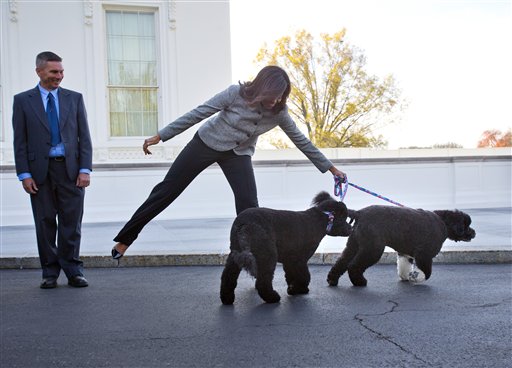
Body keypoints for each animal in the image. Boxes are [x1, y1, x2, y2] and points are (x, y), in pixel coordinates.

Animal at [220, 191, 352, 304]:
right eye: (344, 217)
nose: (350, 228)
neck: (320, 220)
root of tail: (244, 224)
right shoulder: (300, 259)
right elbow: (304, 275)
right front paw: (300, 289)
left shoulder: (290, 259)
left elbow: (290, 275)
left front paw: (293, 289)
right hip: (267, 255)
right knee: (263, 281)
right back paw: (272, 297)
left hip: (235, 254)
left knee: (228, 277)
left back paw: (227, 299)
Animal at [328, 206, 476, 286]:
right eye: (466, 225)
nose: (473, 232)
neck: (443, 222)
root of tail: (359, 213)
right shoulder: (424, 254)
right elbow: (427, 272)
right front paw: (416, 277)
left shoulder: (405, 253)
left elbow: (404, 267)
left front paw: (406, 276)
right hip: (373, 248)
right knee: (353, 265)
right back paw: (359, 282)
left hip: (354, 245)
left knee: (341, 262)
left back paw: (332, 280)